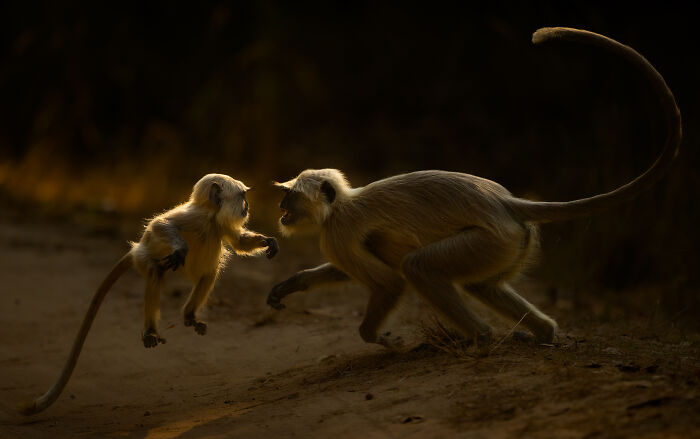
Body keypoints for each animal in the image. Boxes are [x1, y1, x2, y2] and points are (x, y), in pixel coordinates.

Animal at [19, 173, 278, 416]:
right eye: (242, 197)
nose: (247, 206)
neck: (210, 216)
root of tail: (137, 250)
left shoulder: (220, 223)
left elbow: (238, 243)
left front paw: (268, 241)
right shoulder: (194, 217)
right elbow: (160, 225)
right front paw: (180, 246)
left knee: (209, 273)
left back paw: (189, 315)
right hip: (146, 259)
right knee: (155, 271)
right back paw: (151, 330)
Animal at [266, 27, 681, 350]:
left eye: (290, 195)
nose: (281, 206)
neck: (340, 205)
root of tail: (506, 203)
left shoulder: (337, 232)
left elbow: (390, 281)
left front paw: (376, 337)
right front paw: (295, 283)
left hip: (490, 239)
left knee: (418, 267)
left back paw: (481, 338)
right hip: (509, 244)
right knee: (481, 285)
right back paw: (543, 334)